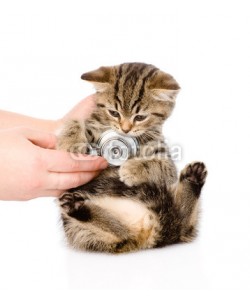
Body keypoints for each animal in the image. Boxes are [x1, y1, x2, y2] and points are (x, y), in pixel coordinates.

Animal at [56, 62, 207, 253]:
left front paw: (131, 169)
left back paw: (193, 178)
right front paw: (70, 141)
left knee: (182, 225)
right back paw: (76, 207)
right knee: (121, 233)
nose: (125, 129)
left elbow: (158, 165)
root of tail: (147, 229)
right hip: (79, 229)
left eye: (140, 117)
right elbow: (75, 121)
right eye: (114, 113)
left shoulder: (166, 163)